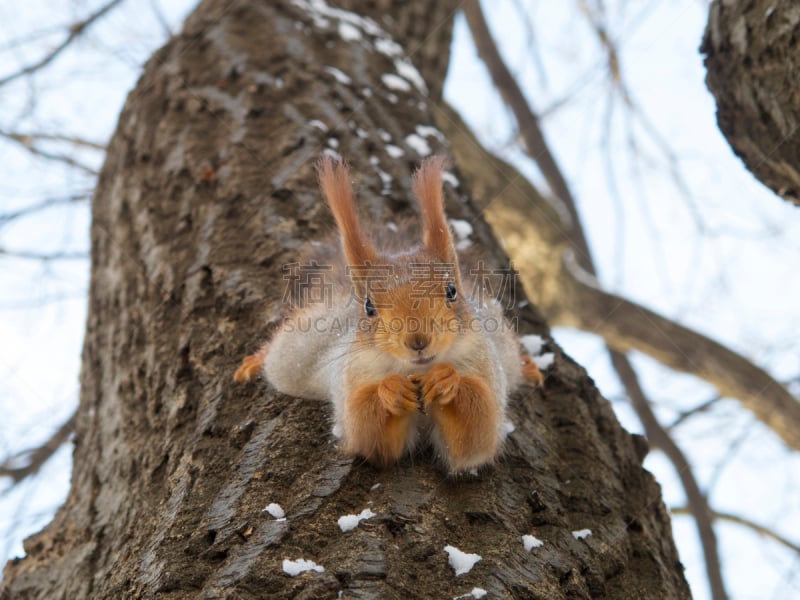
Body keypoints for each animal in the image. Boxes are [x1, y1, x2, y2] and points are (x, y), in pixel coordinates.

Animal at [234, 156, 540, 474]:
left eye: (452, 291)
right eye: (369, 307)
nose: (418, 342)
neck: (417, 370)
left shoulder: (483, 365)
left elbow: (476, 435)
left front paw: (446, 379)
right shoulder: (352, 376)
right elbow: (367, 433)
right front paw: (391, 390)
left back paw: (528, 366)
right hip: (299, 349)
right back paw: (253, 362)